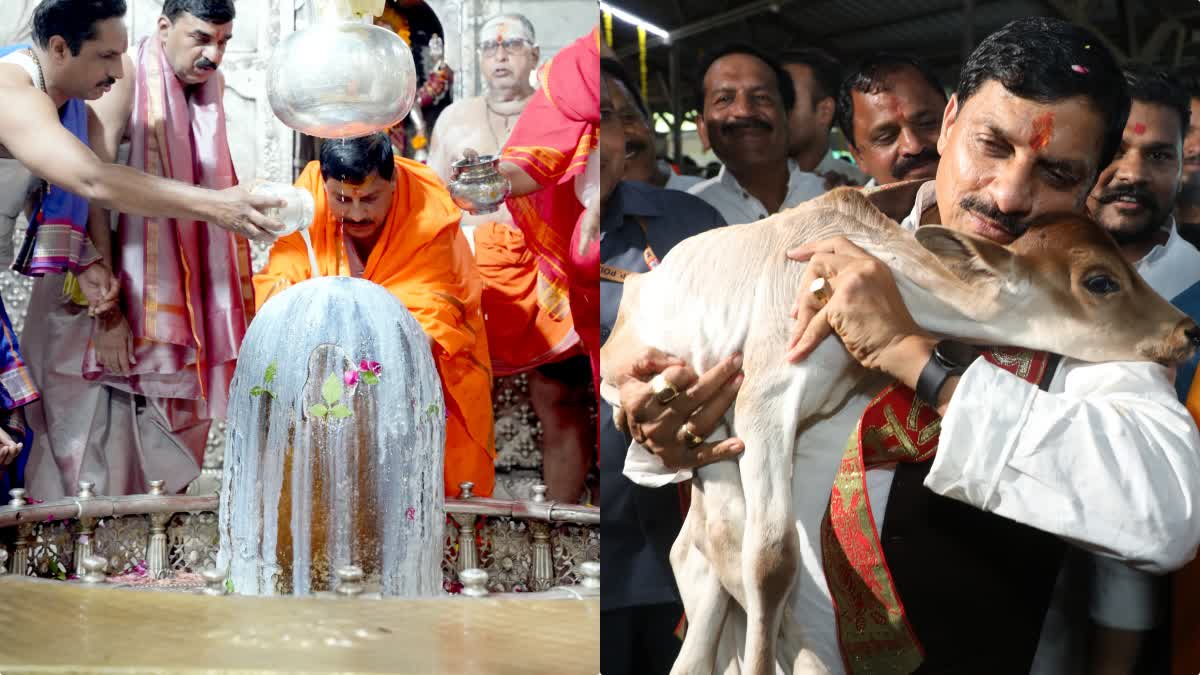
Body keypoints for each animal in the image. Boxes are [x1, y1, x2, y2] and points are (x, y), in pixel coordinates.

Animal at [600, 183, 1200, 672]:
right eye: (1100, 281)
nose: (1186, 330)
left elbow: (759, 560)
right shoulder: (763, 399)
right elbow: (771, 561)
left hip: (717, 441)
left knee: (704, 547)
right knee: (717, 548)